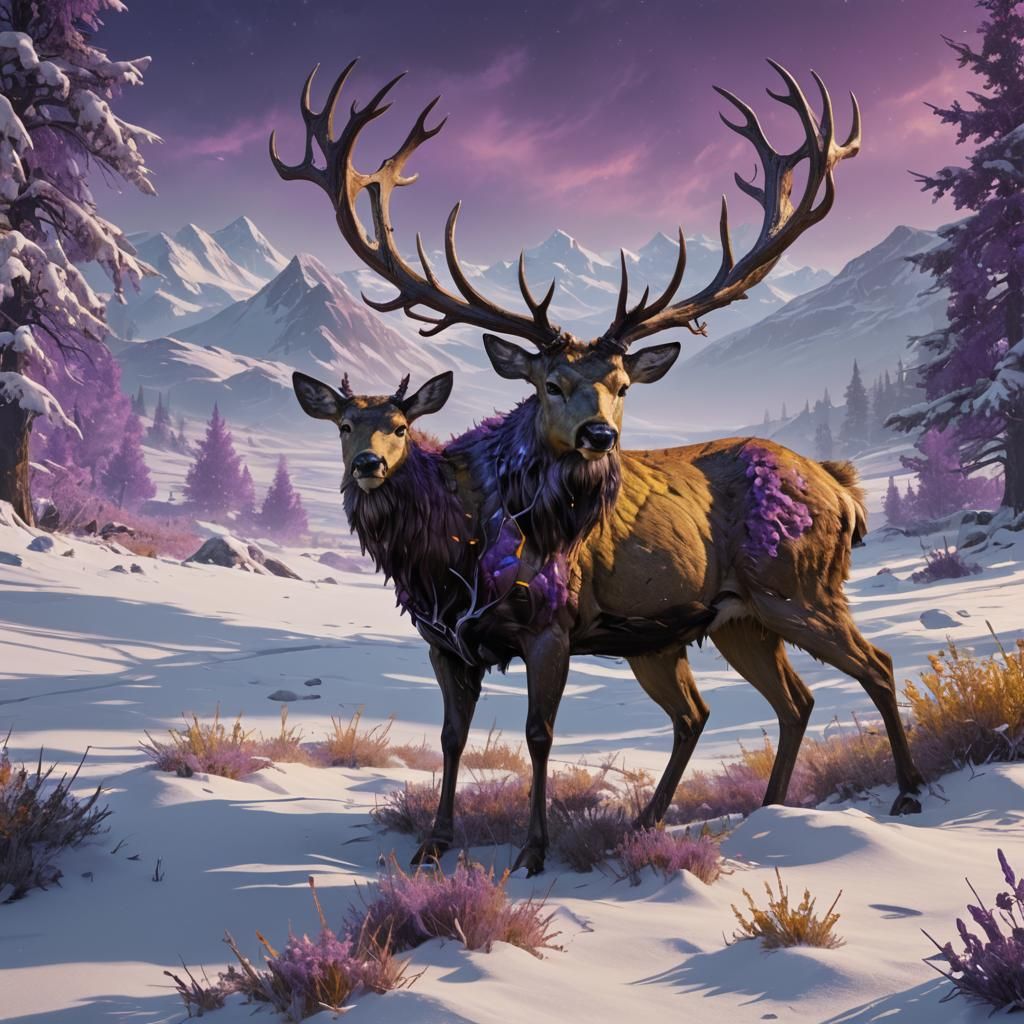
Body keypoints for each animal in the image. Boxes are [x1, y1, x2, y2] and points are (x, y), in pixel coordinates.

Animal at [279, 60, 926, 876]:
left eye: (621, 384)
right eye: (550, 383)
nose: (599, 435)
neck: (451, 540)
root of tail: (840, 485)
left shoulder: (551, 623)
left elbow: (538, 736)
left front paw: (532, 850)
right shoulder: (443, 640)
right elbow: (453, 737)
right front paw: (433, 843)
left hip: (798, 587)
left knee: (875, 665)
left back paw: (906, 793)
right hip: (724, 623)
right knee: (766, 704)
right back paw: (726, 813)